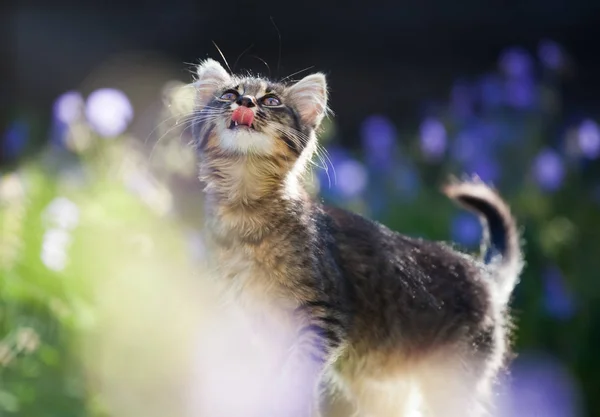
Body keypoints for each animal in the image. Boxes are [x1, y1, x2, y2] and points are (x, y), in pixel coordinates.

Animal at [191, 58, 520, 416]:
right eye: (229, 94)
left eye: (271, 100)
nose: (246, 102)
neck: (246, 212)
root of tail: (482, 273)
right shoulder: (264, 327)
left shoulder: (325, 315)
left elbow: (297, 371)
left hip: (451, 383)